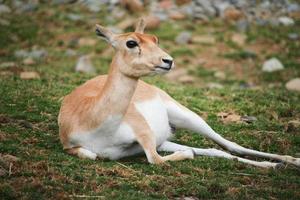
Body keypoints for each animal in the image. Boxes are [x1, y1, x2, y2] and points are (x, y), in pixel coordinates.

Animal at [58, 19, 300, 169]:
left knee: (230, 145)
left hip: (184, 116)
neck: (95, 121)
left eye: (155, 39)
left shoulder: (147, 137)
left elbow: (156, 160)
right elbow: (91, 154)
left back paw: (288, 161)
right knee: (217, 150)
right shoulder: (70, 145)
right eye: (131, 42)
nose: (168, 60)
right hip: (166, 139)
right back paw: (277, 165)